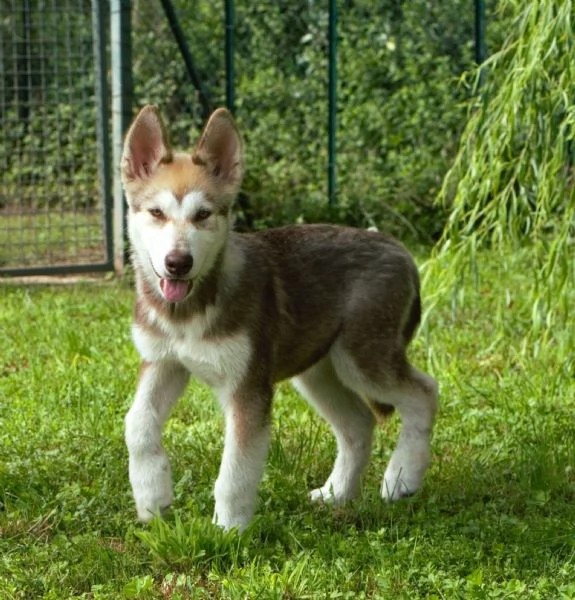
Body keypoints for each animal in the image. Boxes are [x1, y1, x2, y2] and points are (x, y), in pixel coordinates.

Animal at [120, 104, 436, 528]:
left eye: (203, 215)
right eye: (156, 212)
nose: (178, 263)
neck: (186, 315)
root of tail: (399, 248)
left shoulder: (247, 389)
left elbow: (235, 470)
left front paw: (229, 531)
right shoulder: (162, 362)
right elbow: (137, 423)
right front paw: (152, 497)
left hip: (363, 361)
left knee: (424, 393)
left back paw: (402, 477)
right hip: (319, 371)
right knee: (358, 423)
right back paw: (336, 493)